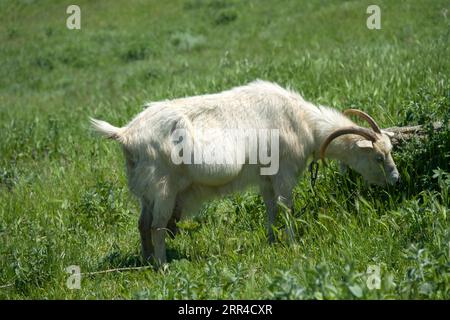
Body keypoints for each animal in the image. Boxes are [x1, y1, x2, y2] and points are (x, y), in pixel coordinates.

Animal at [89, 79, 400, 262]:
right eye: (378, 157)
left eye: (389, 151)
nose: (396, 179)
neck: (304, 122)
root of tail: (126, 134)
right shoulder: (284, 172)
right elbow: (286, 207)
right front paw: (294, 244)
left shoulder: (265, 177)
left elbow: (270, 209)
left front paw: (272, 241)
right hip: (163, 187)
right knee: (157, 226)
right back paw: (164, 267)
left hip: (147, 192)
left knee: (142, 224)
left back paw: (148, 263)